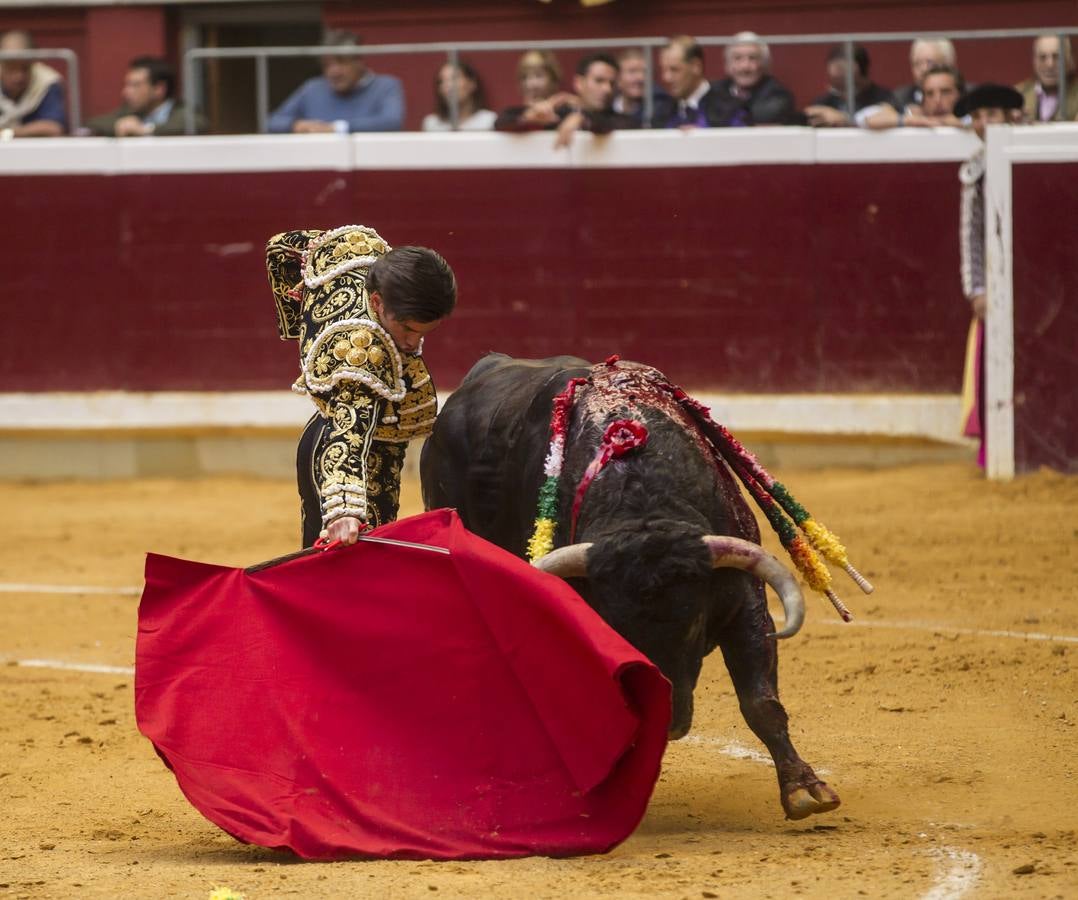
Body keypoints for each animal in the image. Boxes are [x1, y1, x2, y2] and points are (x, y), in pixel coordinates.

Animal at [424, 355, 845, 819]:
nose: (671, 722)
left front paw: (804, 789)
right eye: (616, 631)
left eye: (694, 626)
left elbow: (760, 702)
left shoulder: (744, 601)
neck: (642, 498)